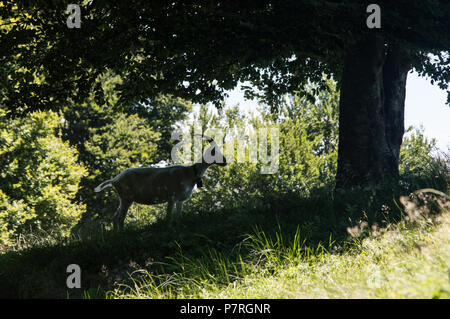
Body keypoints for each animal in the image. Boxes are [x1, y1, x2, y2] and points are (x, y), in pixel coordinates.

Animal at [93, 134, 227, 230]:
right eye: (214, 152)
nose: (225, 161)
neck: (190, 172)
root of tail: (115, 180)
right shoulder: (172, 197)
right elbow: (169, 217)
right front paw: (169, 229)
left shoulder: (180, 200)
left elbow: (179, 217)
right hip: (127, 198)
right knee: (120, 218)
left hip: (124, 199)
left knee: (115, 218)